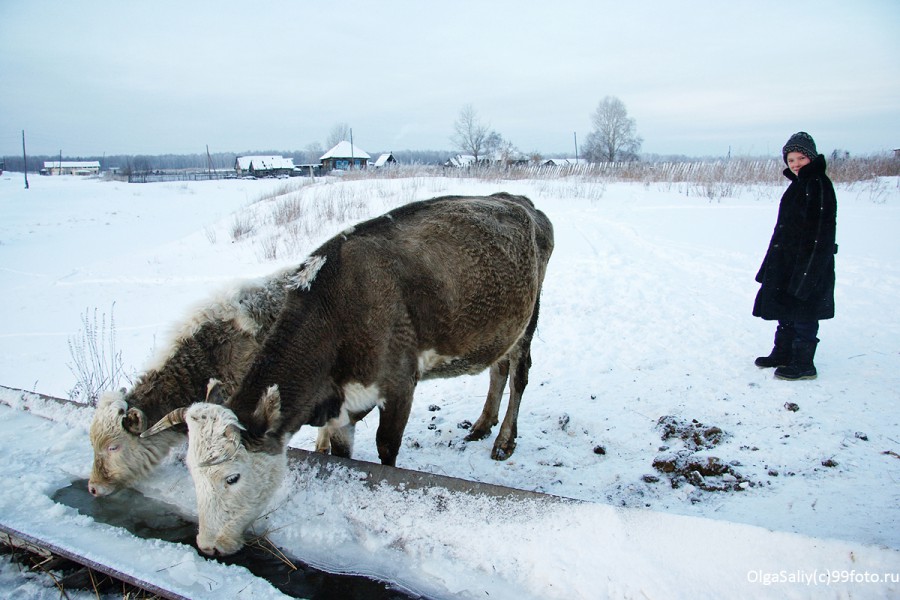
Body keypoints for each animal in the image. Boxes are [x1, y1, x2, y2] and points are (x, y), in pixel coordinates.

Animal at [146, 195, 556, 556]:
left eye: (233, 477)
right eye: (191, 473)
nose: (208, 545)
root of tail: (521, 202)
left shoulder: (399, 384)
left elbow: (386, 451)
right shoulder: (343, 406)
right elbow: (344, 456)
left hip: (529, 318)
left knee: (519, 376)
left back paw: (503, 440)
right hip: (501, 330)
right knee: (497, 370)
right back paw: (483, 424)